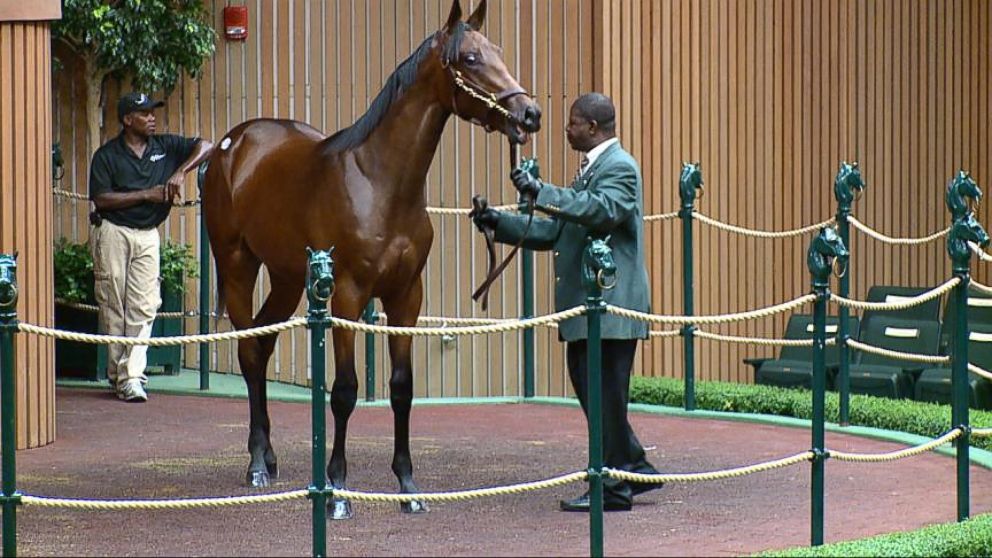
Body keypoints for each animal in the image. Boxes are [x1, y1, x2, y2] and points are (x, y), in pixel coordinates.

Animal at [202, 0, 544, 520]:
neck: (381, 183)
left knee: (262, 346)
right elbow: (344, 391)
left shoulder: (407, 296)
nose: (529, 113)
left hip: (287, 278)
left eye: (499, 51)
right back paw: (257, 464)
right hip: (238, 265)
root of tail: (232, 145)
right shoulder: (347, 294)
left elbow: (402, 389)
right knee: (247, 351)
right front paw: (338, 490)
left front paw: (408, 487)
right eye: (469, 58)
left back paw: (271, 458)